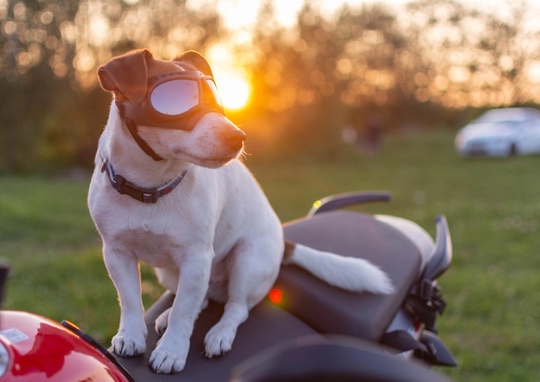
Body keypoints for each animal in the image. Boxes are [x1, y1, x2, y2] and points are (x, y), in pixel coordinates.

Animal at [87, 48, 392, 374]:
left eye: (215, 97)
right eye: (174, 101)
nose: (238, 137)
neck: (152, 188)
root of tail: (283, 245)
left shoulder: (196, 257)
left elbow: (184, 311)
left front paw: (171, 350)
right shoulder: (116, 253)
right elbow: (131, 299)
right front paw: (131, 335)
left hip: (246, 260)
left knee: (235, 308)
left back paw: (219, 333)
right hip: (170, 272)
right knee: (198, 298)